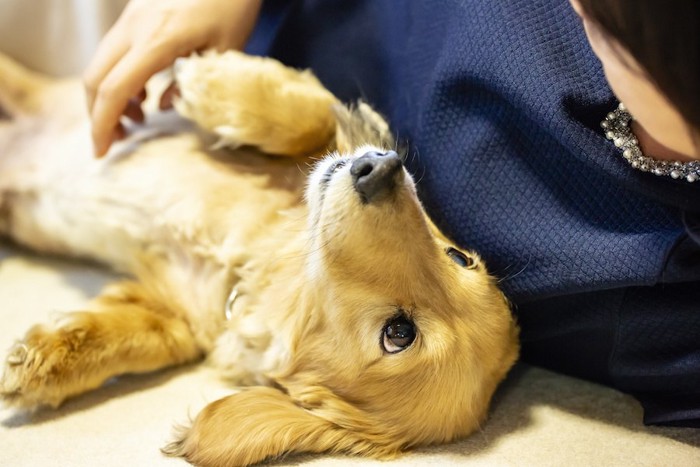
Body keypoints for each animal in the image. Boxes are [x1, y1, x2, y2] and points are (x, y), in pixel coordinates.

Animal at [1, 52, 520, 467]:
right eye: (460, 258)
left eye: (399, 334)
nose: (381, 168)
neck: (253, 263)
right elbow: (312, 117)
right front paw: (211, 79)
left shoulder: (172, 315)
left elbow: (130, 338)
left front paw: (35, 365)